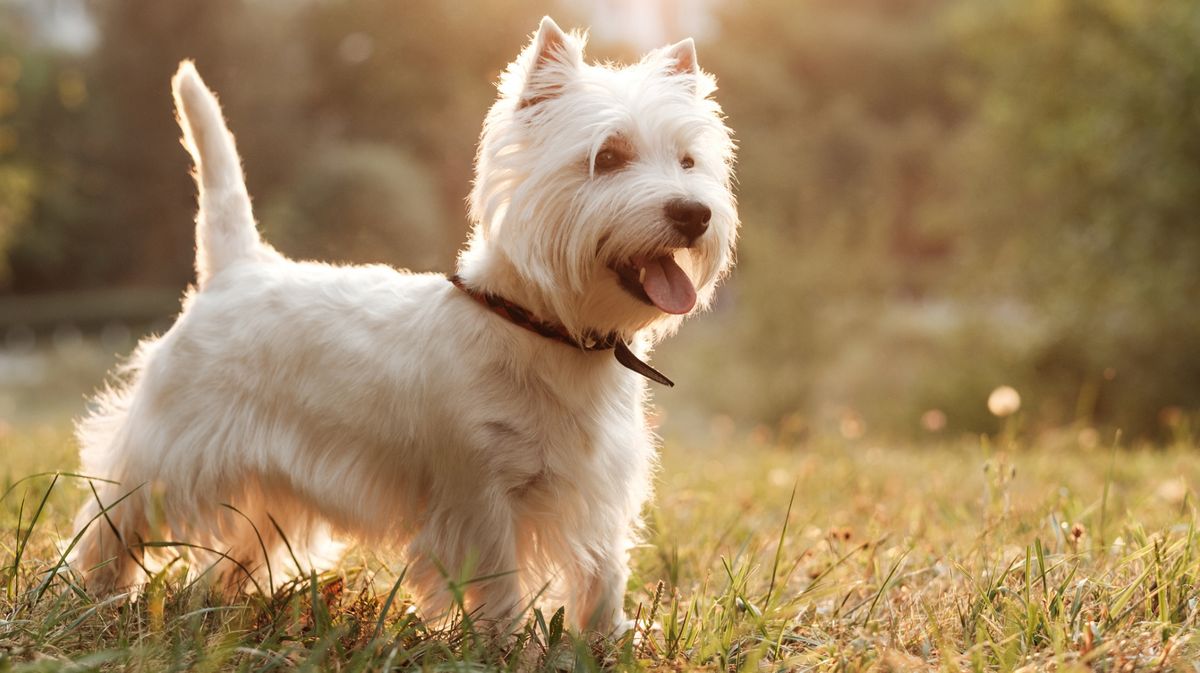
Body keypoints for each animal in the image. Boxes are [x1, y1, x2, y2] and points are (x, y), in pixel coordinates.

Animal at [72, 17, 739, 633]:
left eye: (688, 161)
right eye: (609, 156)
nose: (694, 213)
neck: (547, 329)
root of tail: (236, 267)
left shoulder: (599, 488)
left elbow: (603, 574)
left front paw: (607, 640)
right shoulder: (479, 492)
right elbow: (498, 579)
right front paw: (505, 644)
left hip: (267, 479)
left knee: (239, 544)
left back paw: (226, 603)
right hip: (170, 446)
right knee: (114, 514)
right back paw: (95, 594)